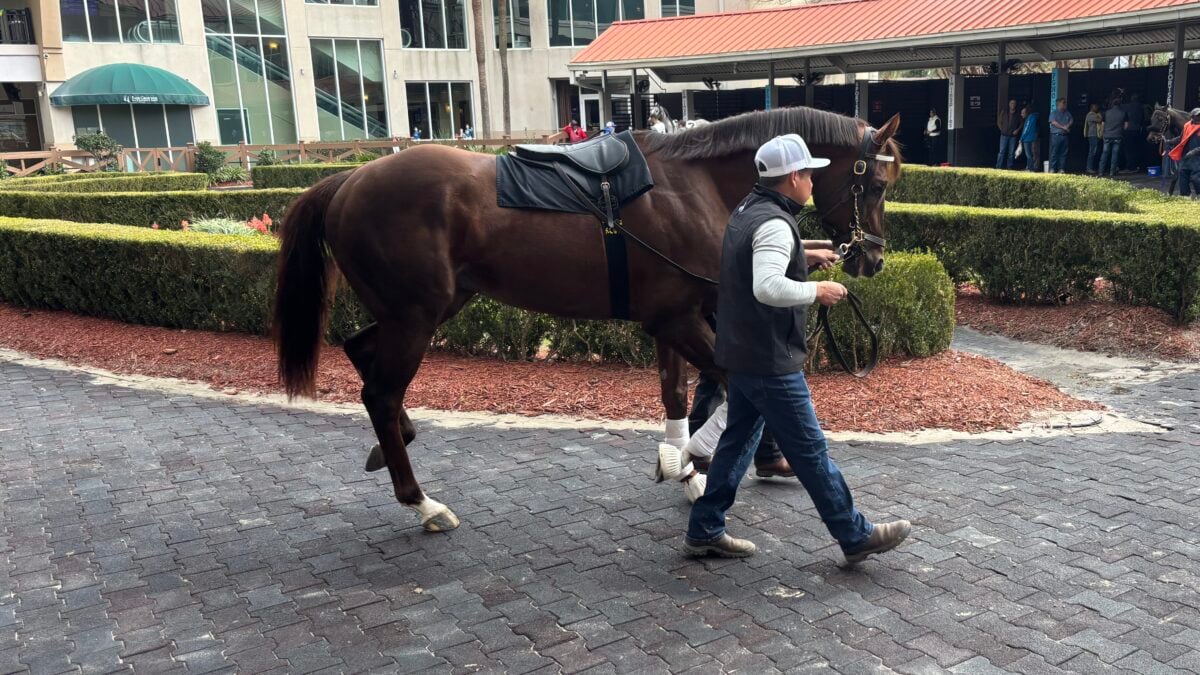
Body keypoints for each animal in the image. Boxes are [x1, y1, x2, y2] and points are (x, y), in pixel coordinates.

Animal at [273, 107, 903, 532]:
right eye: (874, 184)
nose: (871, 258)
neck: (693, 187)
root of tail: (348, 180)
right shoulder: (679, 320)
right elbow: (728, 382)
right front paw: (692, 459)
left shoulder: (671, 317)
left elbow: (679, 392)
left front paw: (683, 465)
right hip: (416, 316)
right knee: (380, 391)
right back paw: (421, 501)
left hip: (431, 307)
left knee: (362, 354)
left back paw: (393, 443)